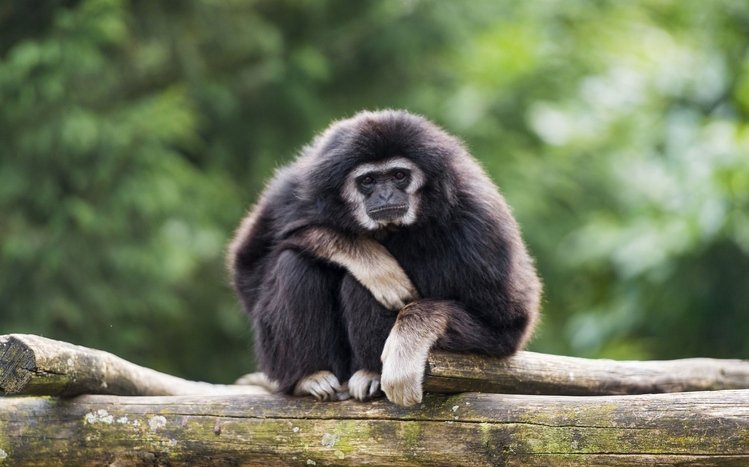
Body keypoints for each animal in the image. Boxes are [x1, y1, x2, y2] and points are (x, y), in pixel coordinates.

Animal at [228, 109, 541, 406]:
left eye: (399, 176)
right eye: (367, 180)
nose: (386, 194)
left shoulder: (479, 221)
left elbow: (504, 326)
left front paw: (407, 341)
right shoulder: (293, 189)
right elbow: (249, 267)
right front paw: (375, 264)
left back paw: (370, 374)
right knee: (294, 263)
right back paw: (309, 376)